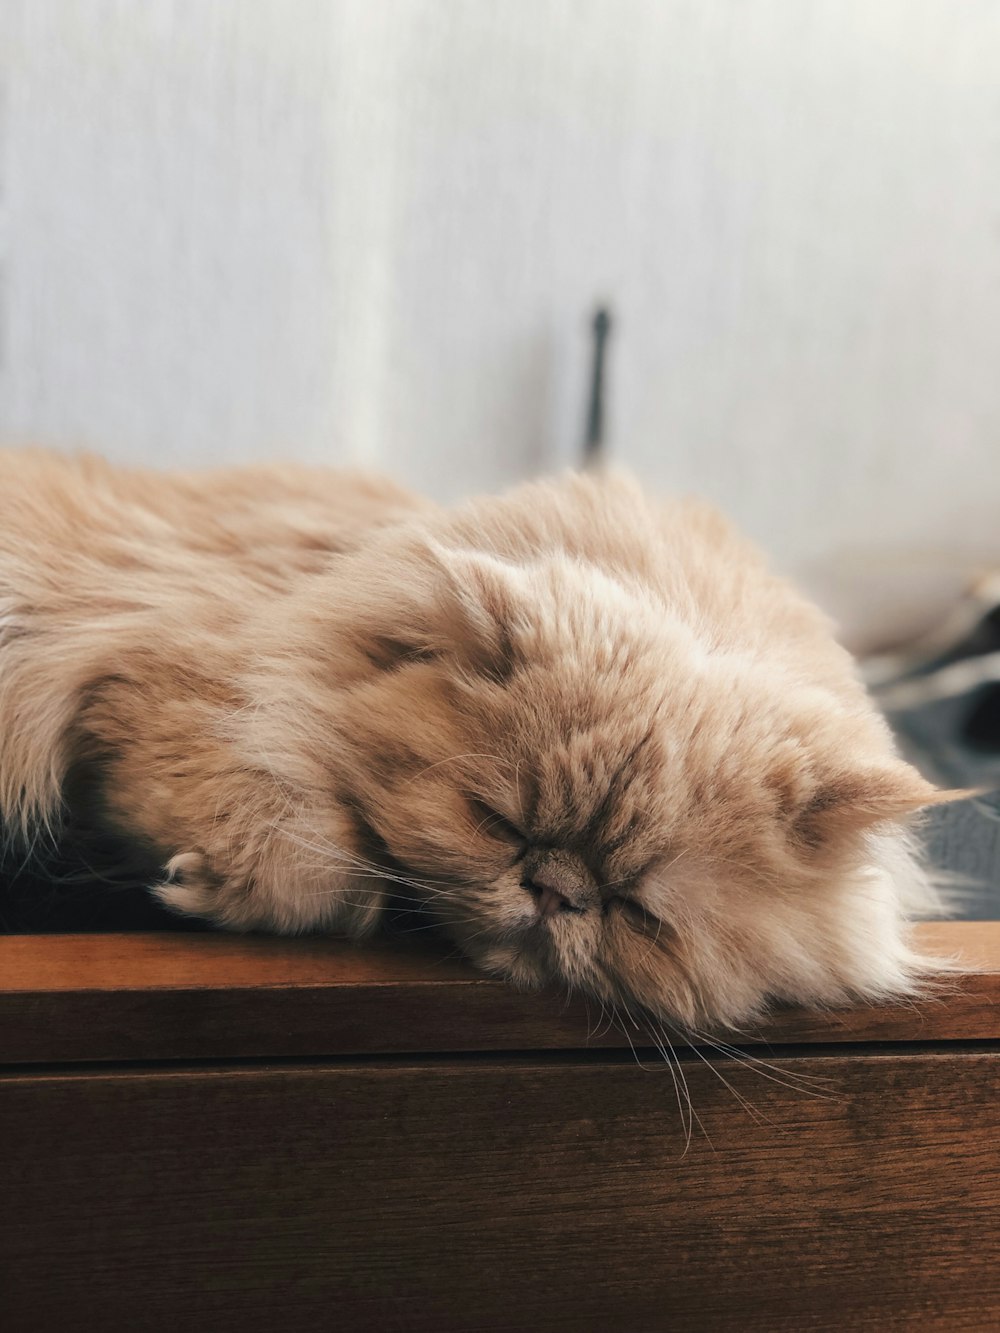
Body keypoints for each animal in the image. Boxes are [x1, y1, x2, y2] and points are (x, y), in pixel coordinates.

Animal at [0, 447, 965, 1029]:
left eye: (637, 911)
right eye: (497, 824)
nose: (551, 890)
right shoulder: (167, 678)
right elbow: (315, 858)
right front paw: (200, 884)